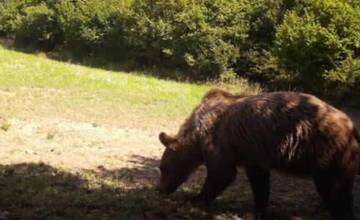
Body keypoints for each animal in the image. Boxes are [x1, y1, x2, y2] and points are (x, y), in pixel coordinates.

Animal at [158, 88, 360, 220]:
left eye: (162, 168)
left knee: (332, 188)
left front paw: (195, 199)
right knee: (343, 188)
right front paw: (258, 209)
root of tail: (351, 126)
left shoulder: (217, 139)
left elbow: (222, 173)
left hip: (326, 151)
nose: (159, 189)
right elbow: (259, 182)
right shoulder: (253, 153)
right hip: (344, 159)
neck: (195, 136)